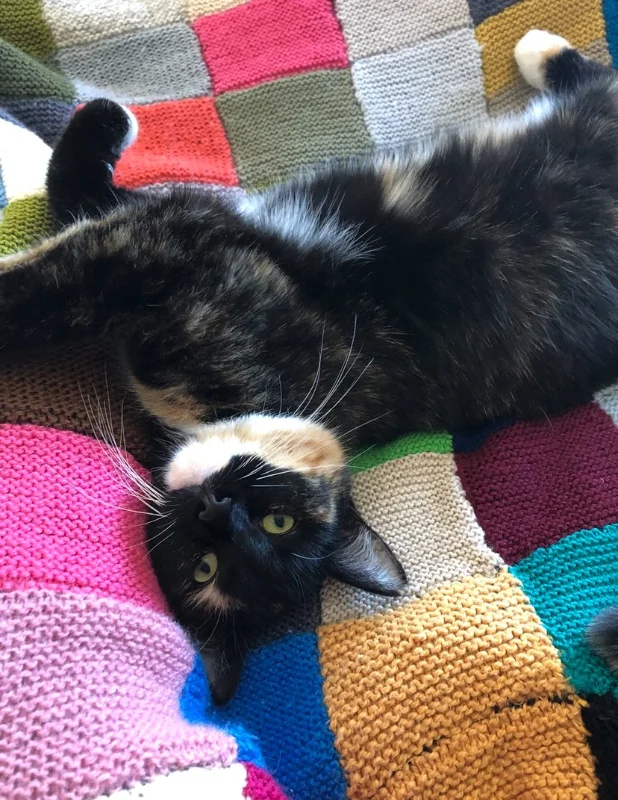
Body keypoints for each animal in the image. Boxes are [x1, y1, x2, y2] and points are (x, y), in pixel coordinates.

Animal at [2, 30, 618, 703]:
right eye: (205, 561)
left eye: (275, 525)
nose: (216, 507)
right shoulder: (183, 235)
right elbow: (82, 204)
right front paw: (103, 123)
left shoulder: (172, 245)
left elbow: (46, 277)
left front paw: (104, 120)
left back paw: (541, 48)